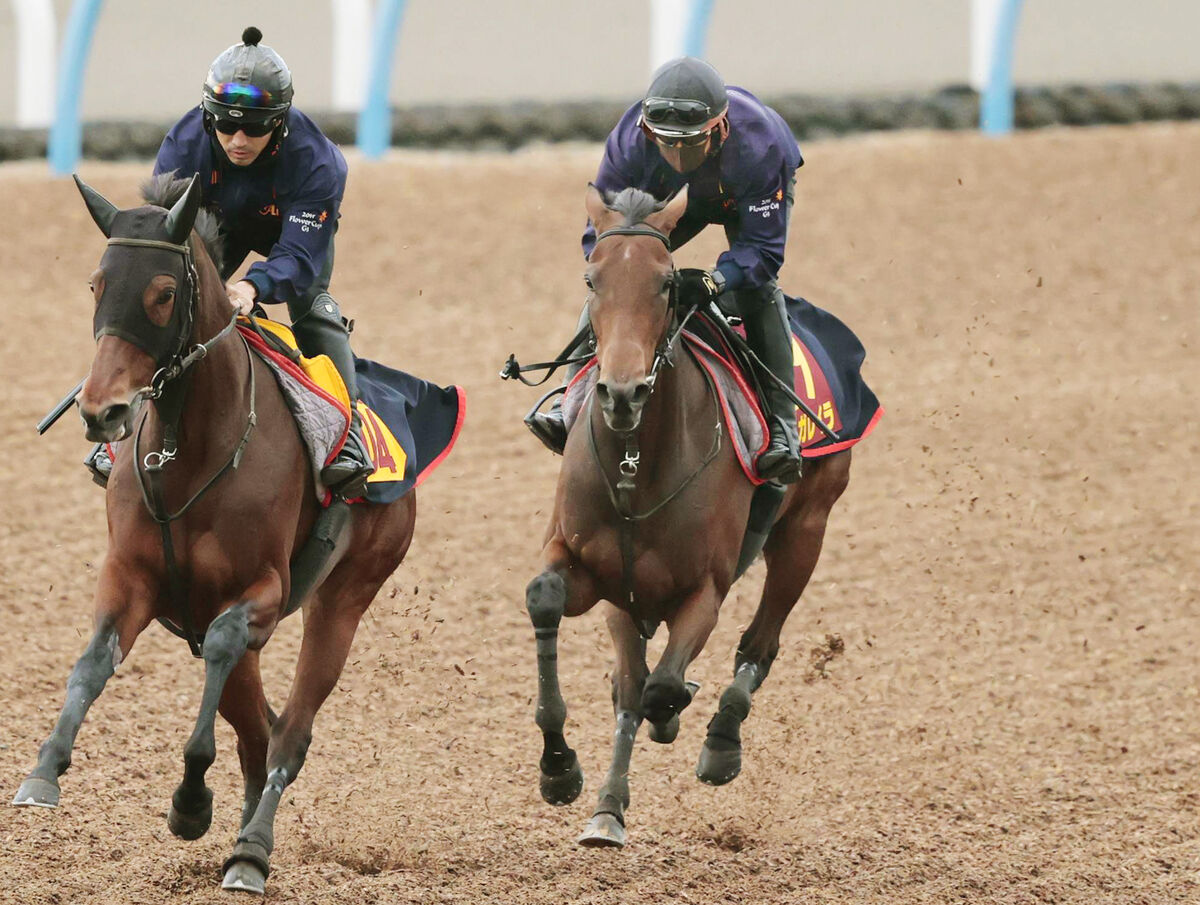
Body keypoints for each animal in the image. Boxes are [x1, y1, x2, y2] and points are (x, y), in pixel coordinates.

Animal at [10, 174, 417, 888]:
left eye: (163, 293)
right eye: (95, 284)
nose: (101, 410)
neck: (189, 451)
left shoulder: (260, 593)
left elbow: (225, 664)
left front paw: (192, 799)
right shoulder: (134, 576)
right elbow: (92, 663)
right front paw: (44, 770)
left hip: (345, 598)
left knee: (289, 733)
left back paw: (251, 849)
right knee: (258, 727)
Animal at [525, 184, 854, 844]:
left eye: (665, 283)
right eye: (592, 279)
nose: (621, 393)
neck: (637, 461)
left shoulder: (704, 588)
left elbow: (663, 685)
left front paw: (674, 715)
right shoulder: (591, 571)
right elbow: (551, 605)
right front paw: (560, 769)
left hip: (806, 530)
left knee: (759, 643)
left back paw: (721, 738)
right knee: (633, 680)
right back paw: (608, 807)